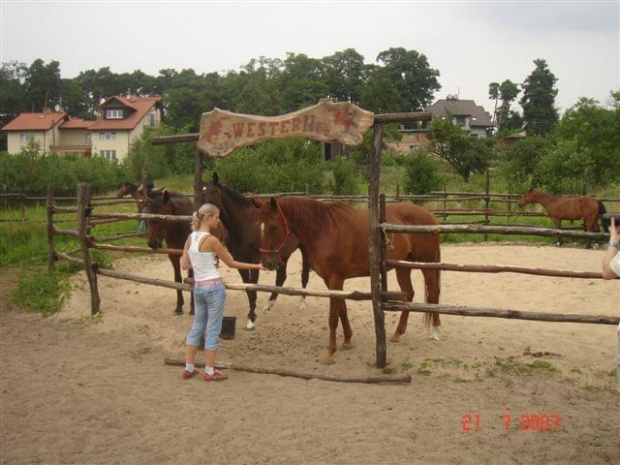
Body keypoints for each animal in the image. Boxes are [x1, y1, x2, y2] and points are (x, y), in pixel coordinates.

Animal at [202, 173, 310, 330]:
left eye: (214, 193)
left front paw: (251, 320)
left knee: (304, 275)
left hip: (305, 250)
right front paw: (251, 315)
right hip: (282, 254)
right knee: (281, 277)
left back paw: (302, 303)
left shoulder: (254, 261)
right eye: (203, 193)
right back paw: (270, 304)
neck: (244, 225)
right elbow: (248, 288)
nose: (200, 214)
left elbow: (253, 289)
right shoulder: (239, 261)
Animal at [256, 195, 440, 362]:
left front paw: (330, 352)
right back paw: (397, 333)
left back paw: (435, 331)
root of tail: (429, 216)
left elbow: (333, 317)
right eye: (260, 227)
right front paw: (347, 340)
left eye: (273, 227)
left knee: (433, 293)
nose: (267, 263)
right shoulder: (331, 281)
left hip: (427, 265)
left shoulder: (336, 279)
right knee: (409, 293)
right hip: (403, 266)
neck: (325, 230)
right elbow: (342, 310)